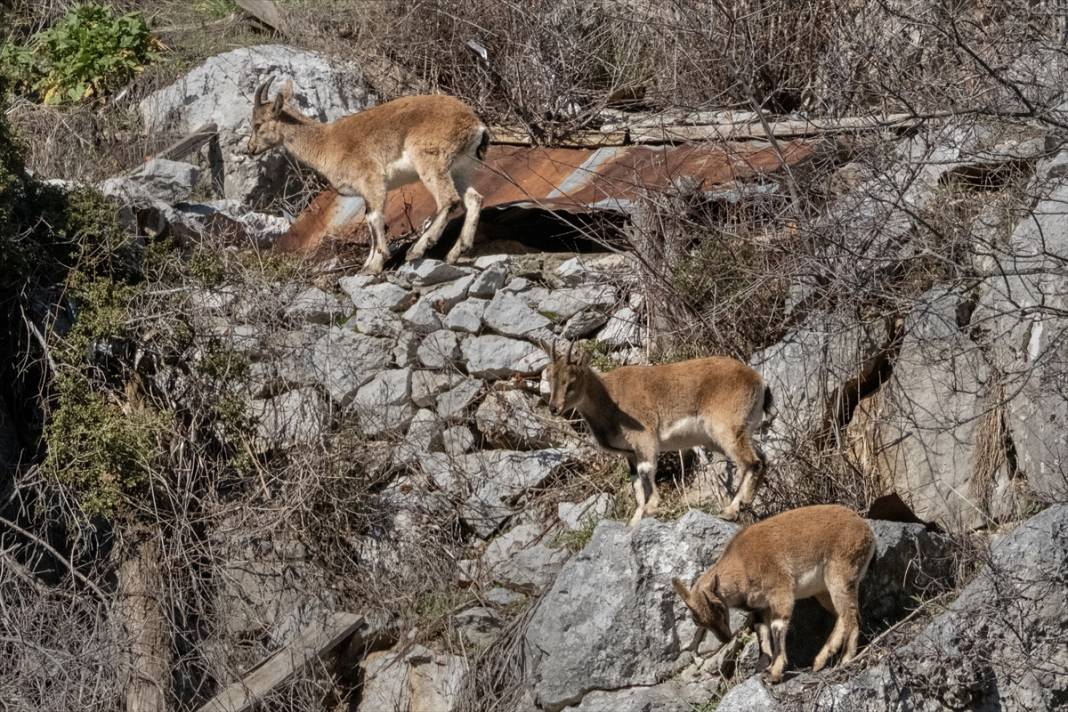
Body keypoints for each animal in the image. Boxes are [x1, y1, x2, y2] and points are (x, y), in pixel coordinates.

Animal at [245, 80, 489, 273]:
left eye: (258, 124)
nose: (250, 148)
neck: (326, 143)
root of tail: (477, 125)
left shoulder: (371, 179)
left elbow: (374, 217)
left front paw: (375, 264)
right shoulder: (366, 190)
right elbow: (370, 218)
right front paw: (367, 264)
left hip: (430, 161)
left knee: (449, 199)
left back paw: (417, 249)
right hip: (461, 167)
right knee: (474, 199)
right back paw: (455, 252)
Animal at [542, 341, 768, 527]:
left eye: (571, 380)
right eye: (549, 377)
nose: (554, 408)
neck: (610, 399)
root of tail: (759, 381)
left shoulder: (645, 438)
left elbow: (646, 470)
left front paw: (652, 507)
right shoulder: (629, 452)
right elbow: (636, 482)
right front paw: (634, 521)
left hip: (725, 428)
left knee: (751, 462)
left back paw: (730, 510)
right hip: (731, 433)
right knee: (762, 457)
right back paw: (747, 501)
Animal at [674, 503, 875, 683]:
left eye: (718, 607)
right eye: (698, 621)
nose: (725, 638)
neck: (742, 563)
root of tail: (867, 532)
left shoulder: (780, 590)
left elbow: (777, 626)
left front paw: (774, 672)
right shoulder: (760, 607)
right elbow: (761, 631)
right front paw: (762, 666)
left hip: (840, 574)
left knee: (851, 616)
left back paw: (846, 659)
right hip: (824, 590)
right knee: (842, 615)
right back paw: (820, 660)